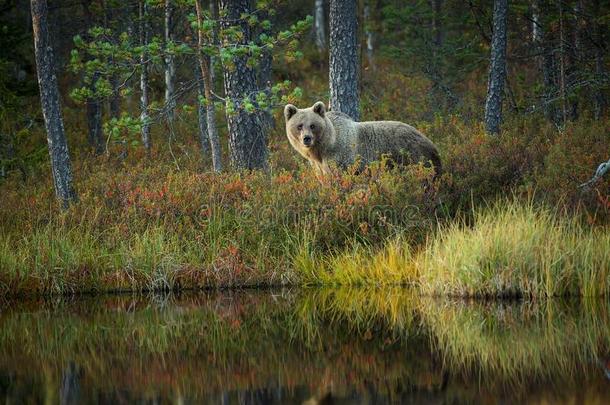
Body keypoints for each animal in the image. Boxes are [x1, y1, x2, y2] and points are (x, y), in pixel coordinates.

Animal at [282, 101, 440, 175]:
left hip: (413, 157)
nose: (307, 138)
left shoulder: (340, 157)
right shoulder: (318, 165)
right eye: (299, 126)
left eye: (313, 125)